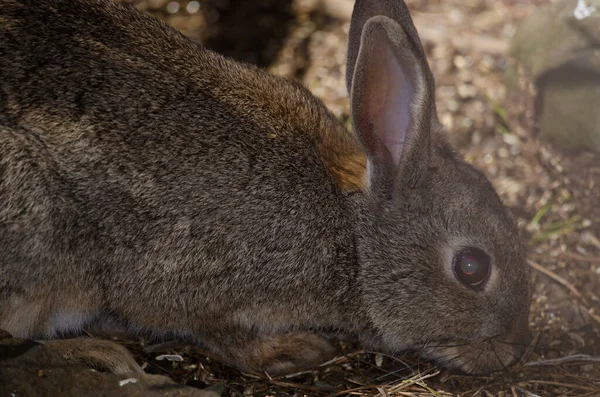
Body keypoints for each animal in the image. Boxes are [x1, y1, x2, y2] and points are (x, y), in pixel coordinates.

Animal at [0, 0, 532, 376]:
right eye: (471, 268)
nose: (511, 350)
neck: (354, 237)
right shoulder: (191, 278)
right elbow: (219, 334)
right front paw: (293, 349)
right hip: (38, 232)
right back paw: (94, 351)